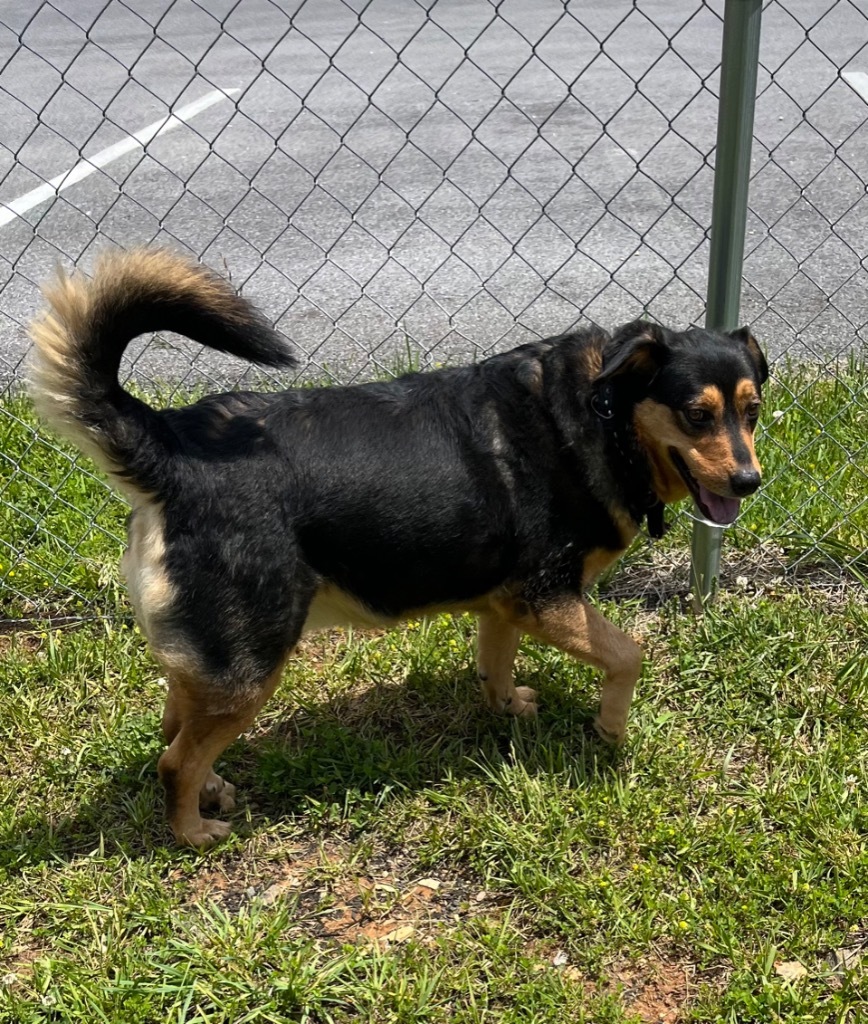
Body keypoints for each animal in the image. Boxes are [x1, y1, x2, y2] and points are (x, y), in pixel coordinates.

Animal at [30, 249, 769, 847]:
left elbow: (494, 661)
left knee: (174, 724)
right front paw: (611, 730)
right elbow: (629, 655)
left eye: (753, 411)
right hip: (252, 662)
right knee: (174, 757)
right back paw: (192, 831)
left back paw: (210, 790)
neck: (605, 411)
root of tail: (172, 453)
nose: (749, 482)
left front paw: (506, 708)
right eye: (697, 415)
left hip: (222, 658)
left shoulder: (507, 603)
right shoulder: (547, 597)